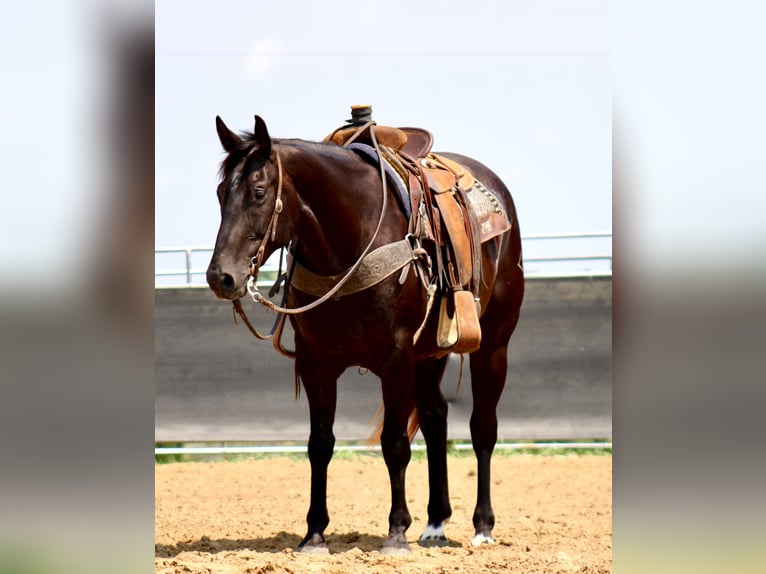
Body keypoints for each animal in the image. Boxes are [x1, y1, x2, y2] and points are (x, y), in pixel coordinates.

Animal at [207, 115, 524, 556]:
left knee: (483, 427)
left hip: (492, 344)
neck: (350, 237)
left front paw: (396, 533)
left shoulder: (396, 358)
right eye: (221, 193)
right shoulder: (316, 361)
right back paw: (435, 524)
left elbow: (394, 443)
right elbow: (319, 444)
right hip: (429, 356)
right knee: (436, 419)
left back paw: (482, 527)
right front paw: (314, 534)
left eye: (257, 192)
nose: (221, 277)